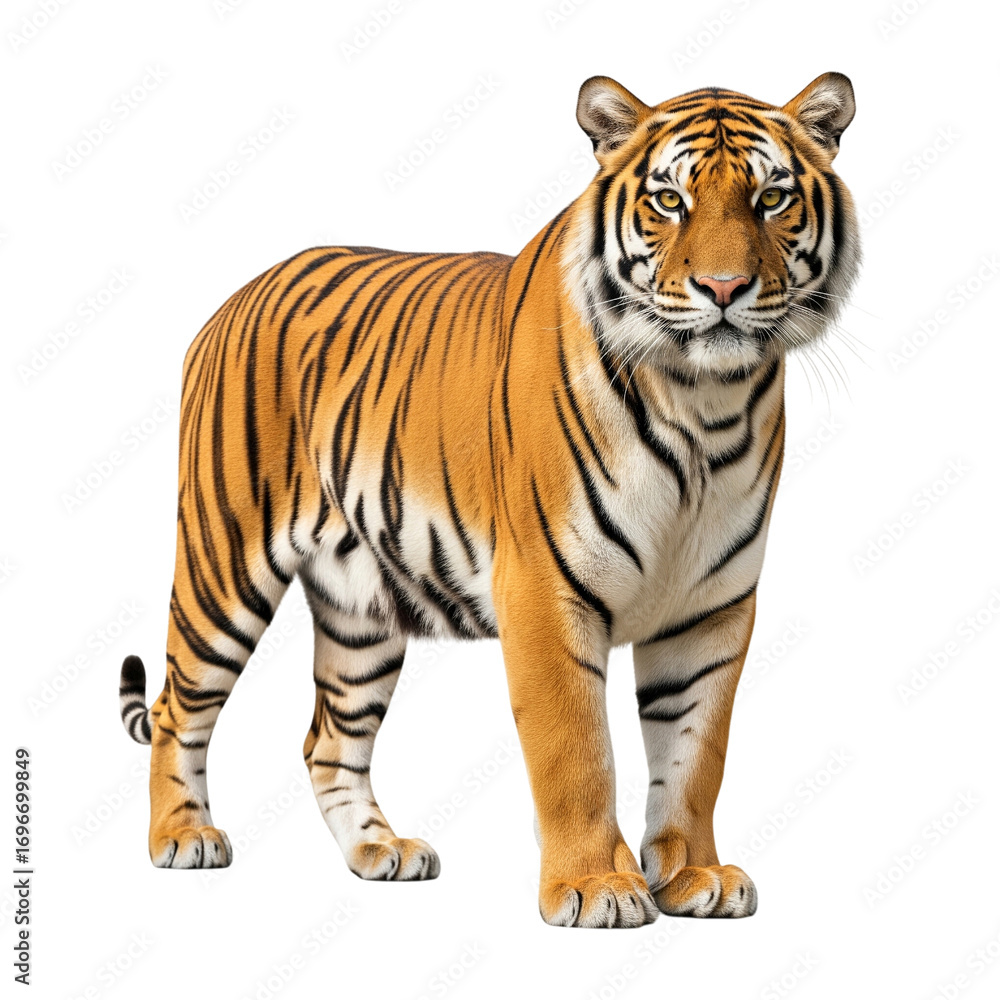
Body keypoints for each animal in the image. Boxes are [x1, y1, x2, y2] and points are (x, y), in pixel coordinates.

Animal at [118, 72, 860, 927]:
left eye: (771, 198)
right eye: (670, 201)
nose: (725, 288)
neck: (704, 402)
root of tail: (236, 296)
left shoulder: (711, 610)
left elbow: (695, 754)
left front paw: (693, 875)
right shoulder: (545, 589)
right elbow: (576, 752)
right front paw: (594, 886)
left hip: (361, 609)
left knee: (328, 741)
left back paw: (382, 852)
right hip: (222, 563)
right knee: (177, 708)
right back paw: (182, 837)